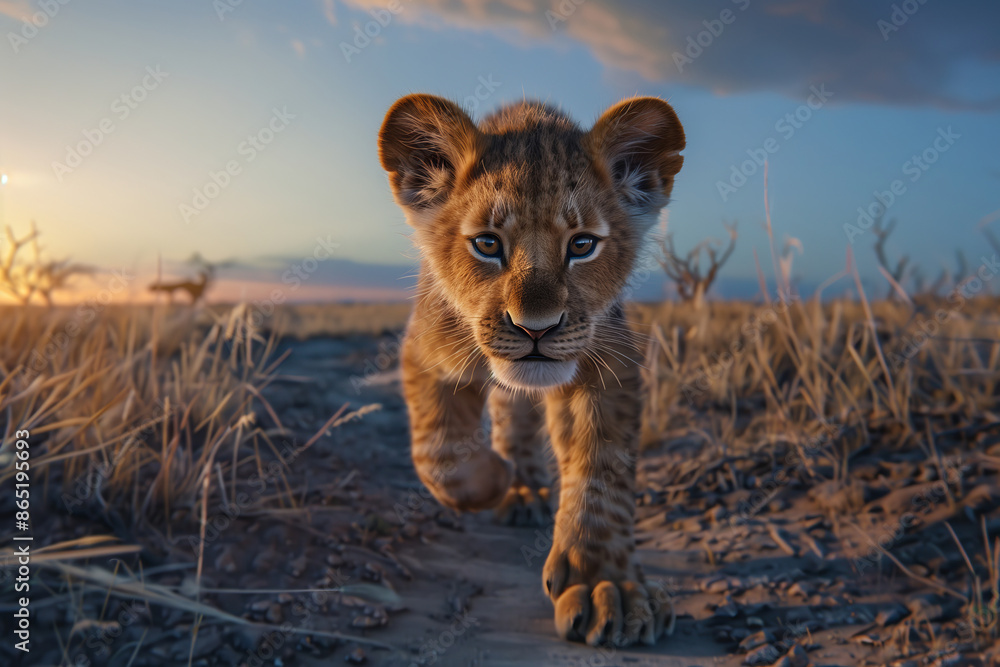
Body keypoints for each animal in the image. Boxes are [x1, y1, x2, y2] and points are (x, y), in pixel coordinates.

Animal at [377, 94, 685, 646]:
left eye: (582, 245)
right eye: (487, 244)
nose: (535, 329)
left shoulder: (608, 362)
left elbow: (601, 472)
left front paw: (606, 585)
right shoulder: (424, 353)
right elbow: (439, 452)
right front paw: (493, 478)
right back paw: (517, 486)